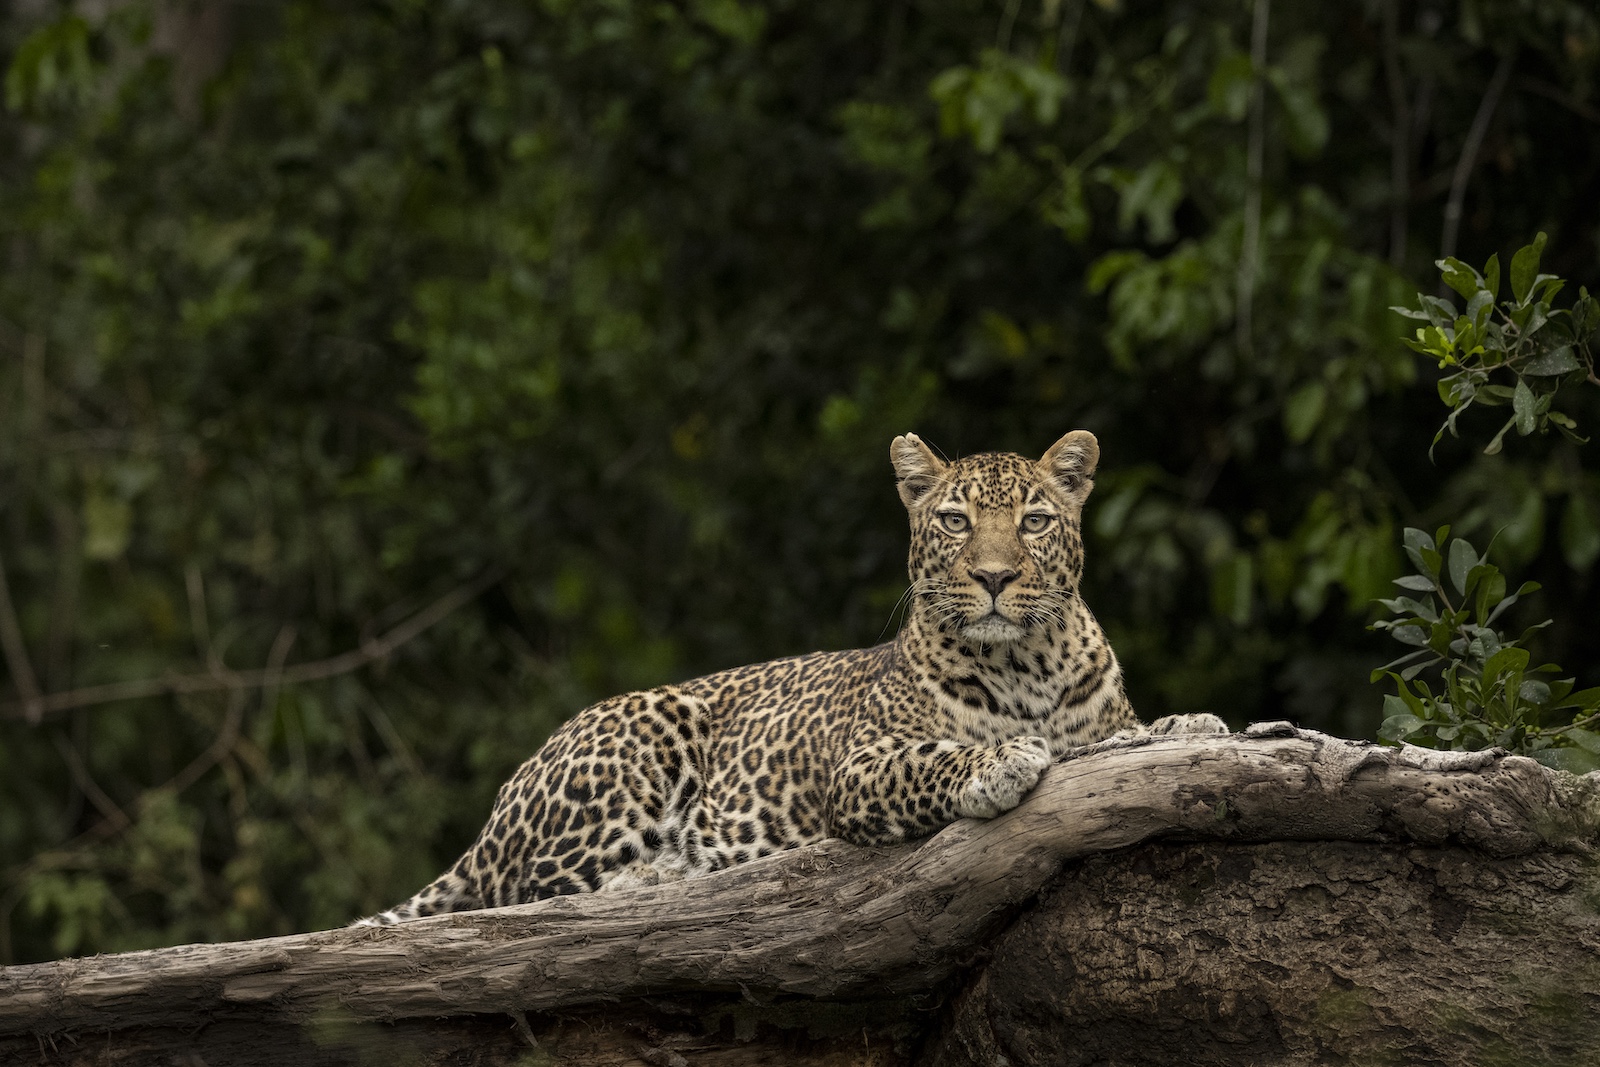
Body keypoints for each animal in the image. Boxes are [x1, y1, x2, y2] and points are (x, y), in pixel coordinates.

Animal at [360, 428, 1222, 927]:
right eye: (954, 520)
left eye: (1035, 521)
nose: (994, 577)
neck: (1026, 664)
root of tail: (494, 815)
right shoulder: (861, 765)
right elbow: (935, 757)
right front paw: (1001, 760)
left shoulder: (1099, 725)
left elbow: (1132, 735)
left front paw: (1197, 725)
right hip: (644, 733)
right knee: (524, 895)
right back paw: (657, 876)